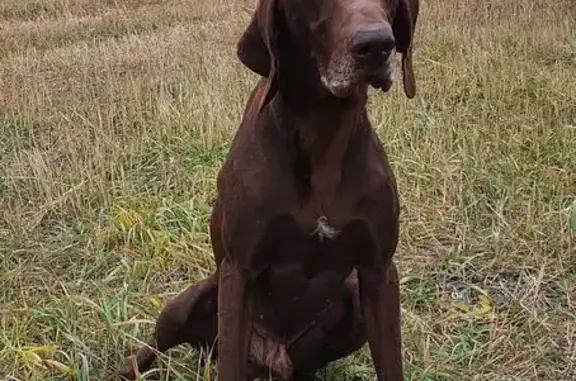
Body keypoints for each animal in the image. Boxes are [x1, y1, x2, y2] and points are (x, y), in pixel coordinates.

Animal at [115, 0, 418, 378]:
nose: (376, 45)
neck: (323, 131)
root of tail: (271, 358)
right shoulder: (239, 272)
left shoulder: (379, 272)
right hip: (189, 301)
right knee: (149, 350)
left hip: (350, 308)